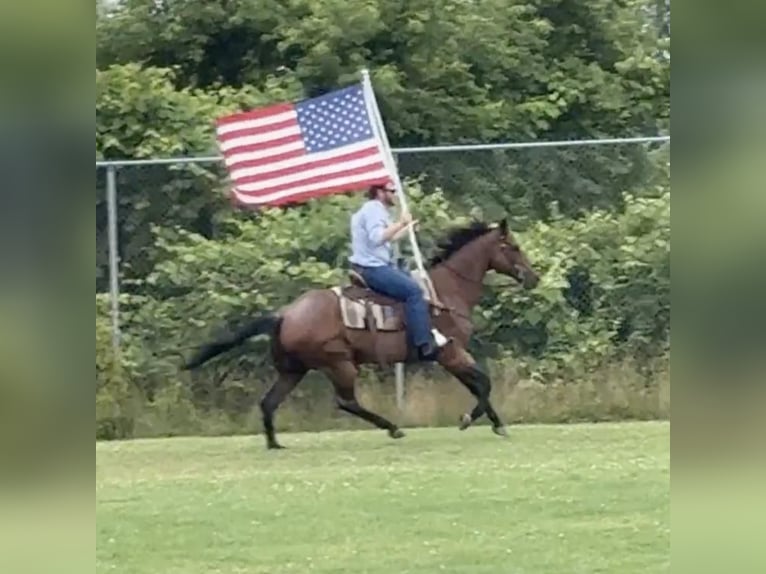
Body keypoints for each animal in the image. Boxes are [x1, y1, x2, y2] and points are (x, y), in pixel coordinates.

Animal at [182, 218, 540, 448]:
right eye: (513, 246)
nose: (533, 278)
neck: (444, 292)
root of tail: (284, 315)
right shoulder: (450, 353)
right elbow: (484, 383)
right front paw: (470, 419)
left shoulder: (451, 355)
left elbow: (479, 384)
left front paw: (496, 424)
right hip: (339, 364)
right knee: (346, 402)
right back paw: (392, 428)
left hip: (293, 370)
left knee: (269, 403)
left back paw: (274, 444)